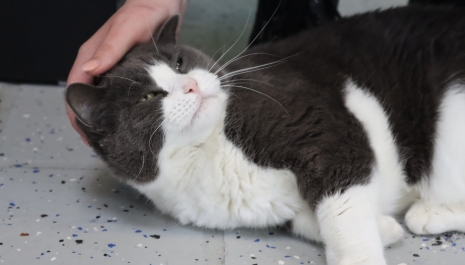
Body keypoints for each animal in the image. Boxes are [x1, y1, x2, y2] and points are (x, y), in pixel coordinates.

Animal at [65, 6, 464, 264]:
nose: (192, 84)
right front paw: (386, 228)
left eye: (179, 62)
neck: (206, 151)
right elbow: (308, 220)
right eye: (149, 97)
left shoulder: (323, 128)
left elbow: (342, 212)